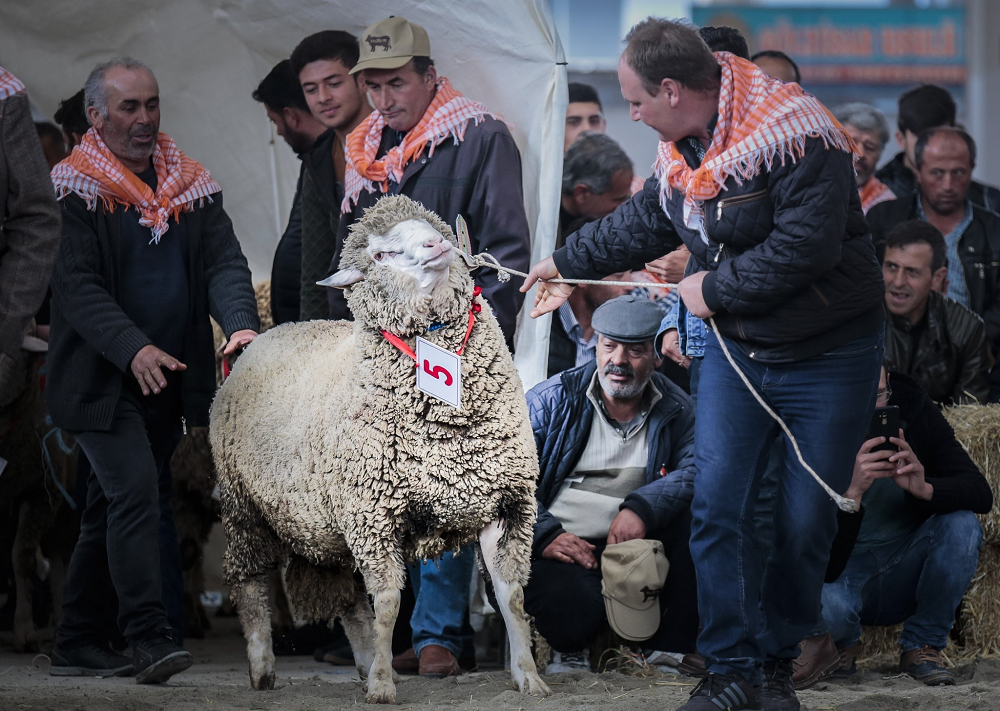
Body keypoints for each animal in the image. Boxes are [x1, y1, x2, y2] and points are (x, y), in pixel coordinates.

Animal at [211, 196, 552, 708]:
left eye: (436, 229)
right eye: (380, 255)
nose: (435, 246)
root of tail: (260, 340)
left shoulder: (506, 503)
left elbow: (512, 595)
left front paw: (528, 677)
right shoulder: (373, 515)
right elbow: (390, 603)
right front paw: (384, 687)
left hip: (326, 526)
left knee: (349, 601)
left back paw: (367, 660)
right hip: (245, 508)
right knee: (250, 583)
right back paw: (263, 666)